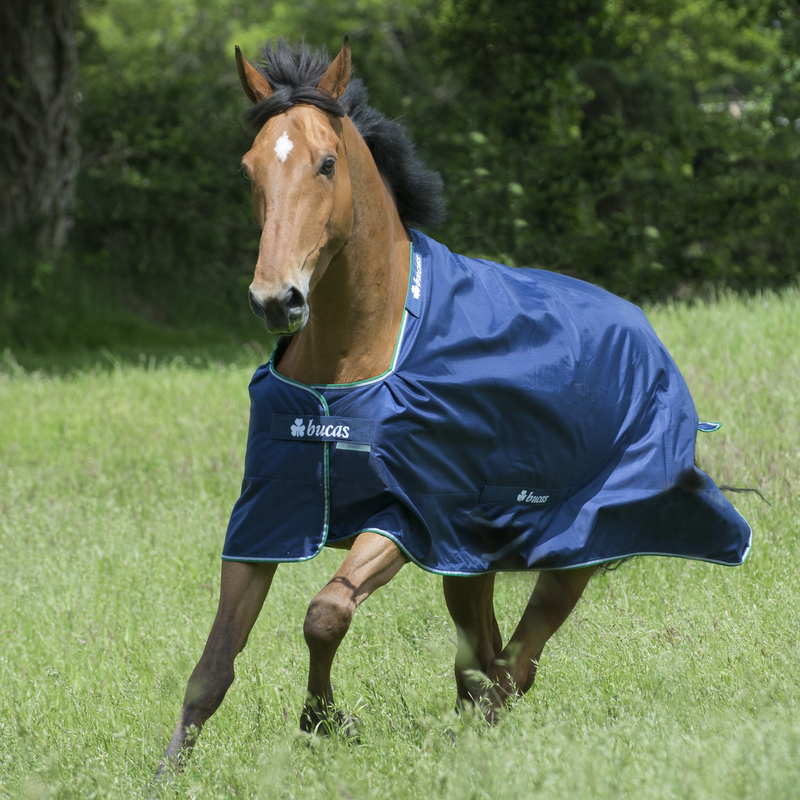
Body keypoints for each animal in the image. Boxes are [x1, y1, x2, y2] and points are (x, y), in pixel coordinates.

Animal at [155, 36, 752, 776]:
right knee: (485, 658)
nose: (277, 299)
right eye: (251, 168)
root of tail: (643, 331)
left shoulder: (405, 517)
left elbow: (326, 611)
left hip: (573, 553)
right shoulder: (267, 517)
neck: (355, 362)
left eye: (326, 162)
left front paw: (325, 719)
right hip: (468, 561)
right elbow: (212, 666)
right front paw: (169, 772)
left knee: (514, 666)